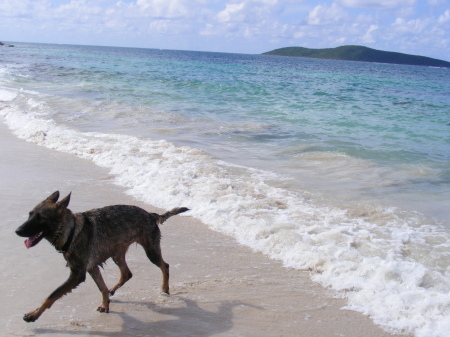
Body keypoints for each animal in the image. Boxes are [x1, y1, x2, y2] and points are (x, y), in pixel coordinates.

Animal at [14, 190, 189, 322]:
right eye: (30, 214)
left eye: (40, 218)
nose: (17, 231)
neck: (71, 231)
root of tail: (151, 215)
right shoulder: (92, 267)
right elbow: (102, 288)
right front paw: (106, 304)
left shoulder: (77, 274)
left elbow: (52, 295)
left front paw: (34, 314)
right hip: (117, 254)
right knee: (126, 274)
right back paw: (113, 290)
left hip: (150, 251)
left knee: (164, 266)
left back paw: (165, 288)